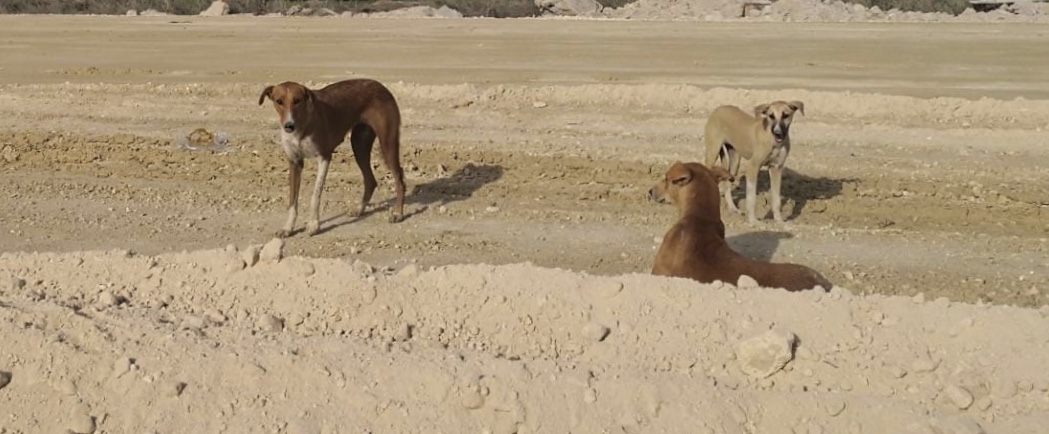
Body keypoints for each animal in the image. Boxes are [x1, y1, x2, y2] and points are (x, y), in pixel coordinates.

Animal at [259, 79, 407, 237]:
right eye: (279, 101)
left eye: (297, 100)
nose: (289, 126)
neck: (302, 126)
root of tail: (380, 85)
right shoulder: (295, 162)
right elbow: (292, 201)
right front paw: (288, 227)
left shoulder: (324, 157)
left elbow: (315, 195)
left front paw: (313, 224)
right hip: (359, 145)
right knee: (370, 180)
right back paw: (359, 209)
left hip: (387, 143)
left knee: (399, 178)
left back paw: (398, 213)